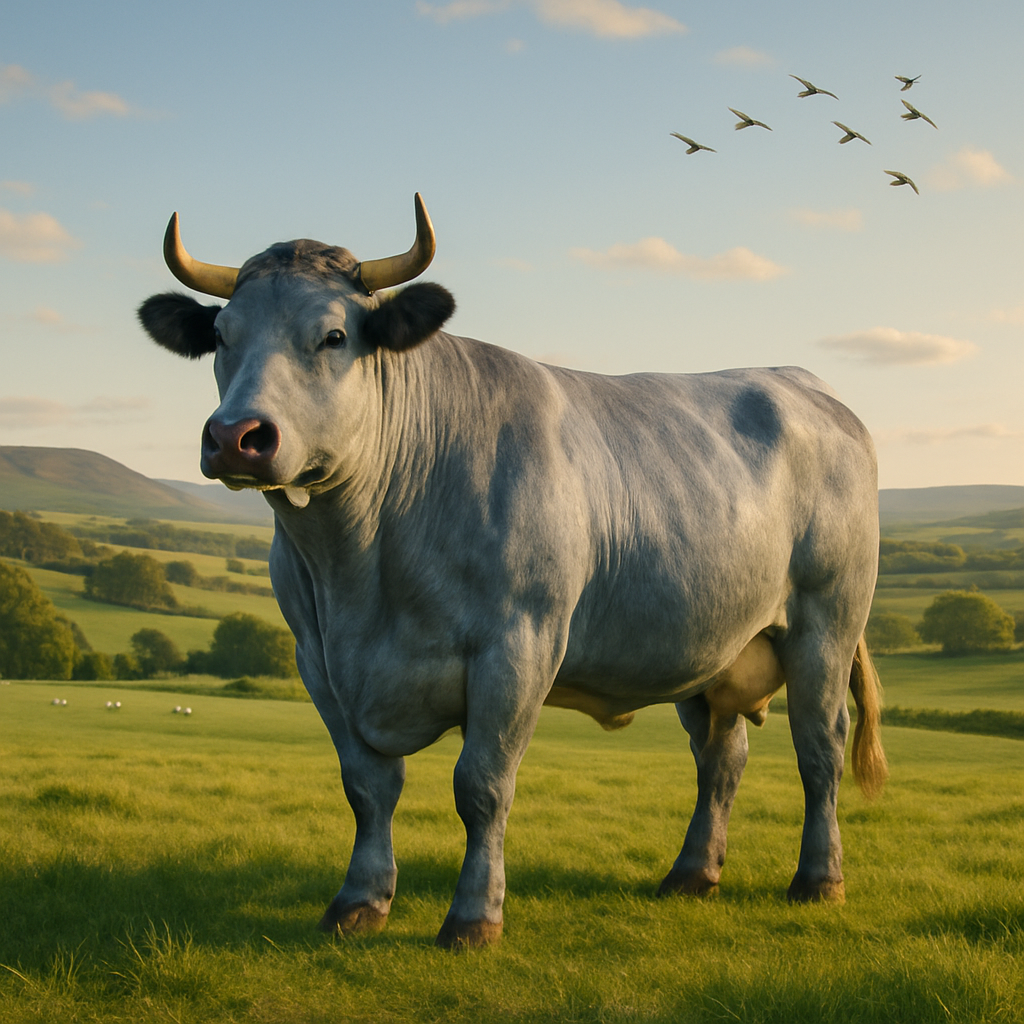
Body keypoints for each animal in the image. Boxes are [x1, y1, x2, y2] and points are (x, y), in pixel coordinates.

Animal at [138, 194, 887, 948]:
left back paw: (818, 879)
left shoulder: (517, 644)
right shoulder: (318, 659)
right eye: (222, 335)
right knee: (721, 759)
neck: (359, 567)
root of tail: (803, 383)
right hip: (713, 648)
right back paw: (692, 874)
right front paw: (359, 901)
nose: (236, 436)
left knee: (820, 745)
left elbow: (482, 785)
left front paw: (474, 916)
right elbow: (367, 787)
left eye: (333, 336)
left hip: (825, 622)